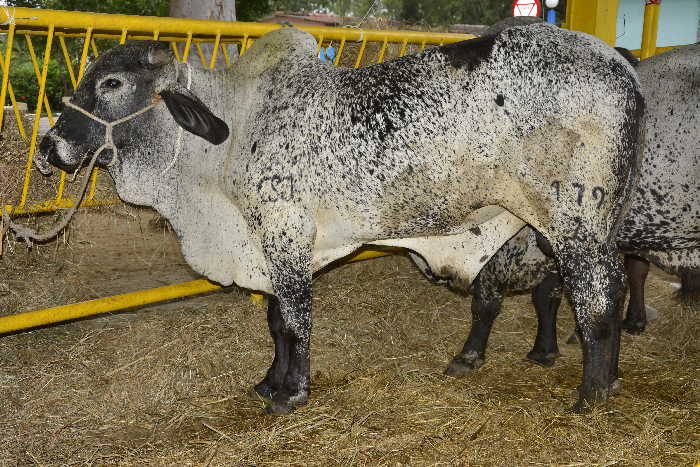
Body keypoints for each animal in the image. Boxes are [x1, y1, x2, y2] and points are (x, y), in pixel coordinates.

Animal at [34, 24, 644, 414]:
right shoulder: (269, 245)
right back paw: (606, 378)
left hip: (576, 219)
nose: (49, 145)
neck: (230, 133)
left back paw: (591, 395)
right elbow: (275, 321)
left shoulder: (284, 232)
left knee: (599, 297)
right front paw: (269, 383)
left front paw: (292, 393)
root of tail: (620, 64)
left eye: (112, 84)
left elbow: (295, 321)